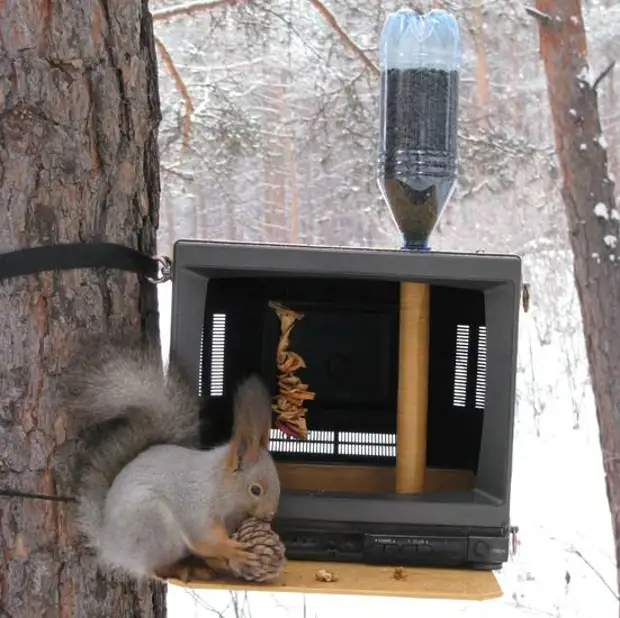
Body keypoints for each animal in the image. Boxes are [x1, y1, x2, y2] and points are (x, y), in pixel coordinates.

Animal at [59, 334, 280, 580]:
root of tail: (111, 545)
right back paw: (180, 569)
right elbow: (204, 538)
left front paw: (230, 561)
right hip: (155, 528)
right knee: (151, 568)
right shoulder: (196, 503)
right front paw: (233, 550)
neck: (220, 487)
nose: (269, 516)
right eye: (255, 490)